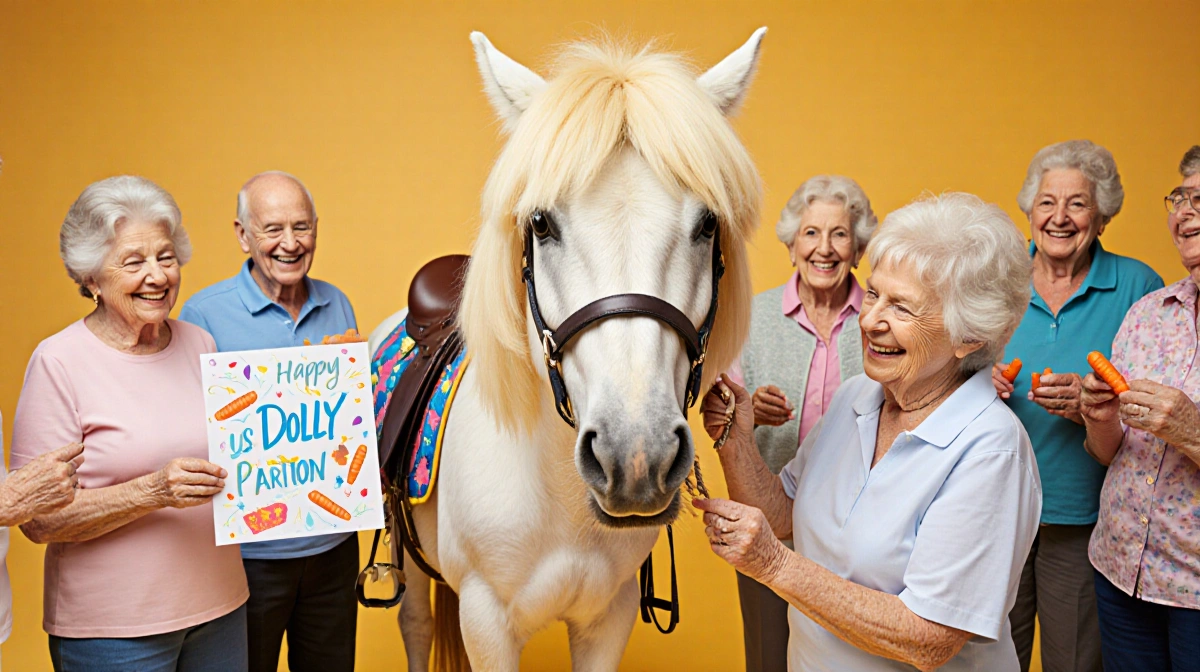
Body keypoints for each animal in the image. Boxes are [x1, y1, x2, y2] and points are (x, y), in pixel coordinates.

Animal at [368, 27, 766, 671]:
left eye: (708, 223)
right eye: (541, 222)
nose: (636, 457)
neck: (559, 502)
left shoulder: (610, 615)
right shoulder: (486, 623)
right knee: (415, 623)